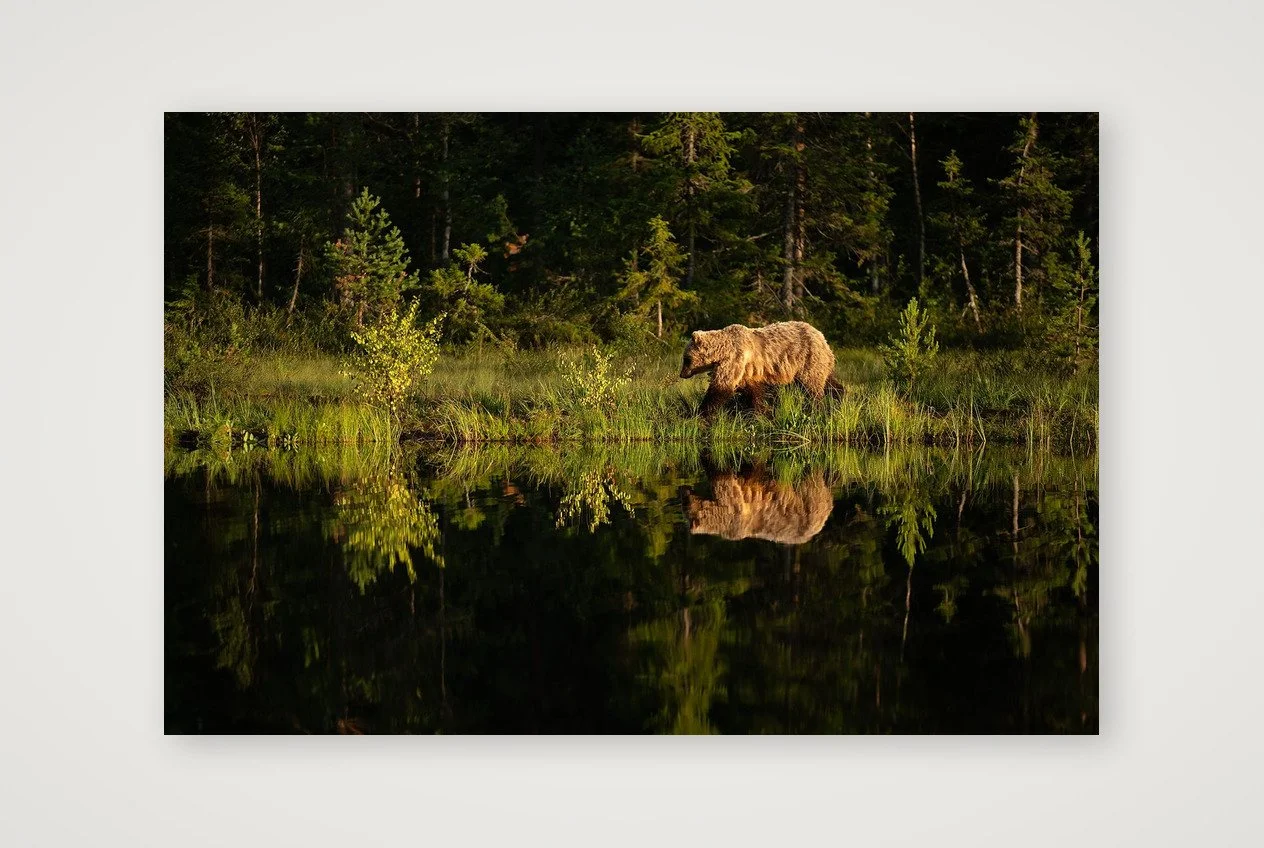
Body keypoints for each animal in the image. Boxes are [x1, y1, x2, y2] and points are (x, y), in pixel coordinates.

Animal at [679, 320, 843, 418]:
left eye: (686, 358)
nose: (682, 374)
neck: (721, 351)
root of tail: (822, 337)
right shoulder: (747, 371)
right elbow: (754, 392)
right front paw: (760, 411)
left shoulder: (735, 358)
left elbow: (721, 387)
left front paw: (699, 412)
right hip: (820, 362)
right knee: (829, 382)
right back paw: (839, 397)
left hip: (808, 359)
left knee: (812, 386)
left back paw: (816, 408)